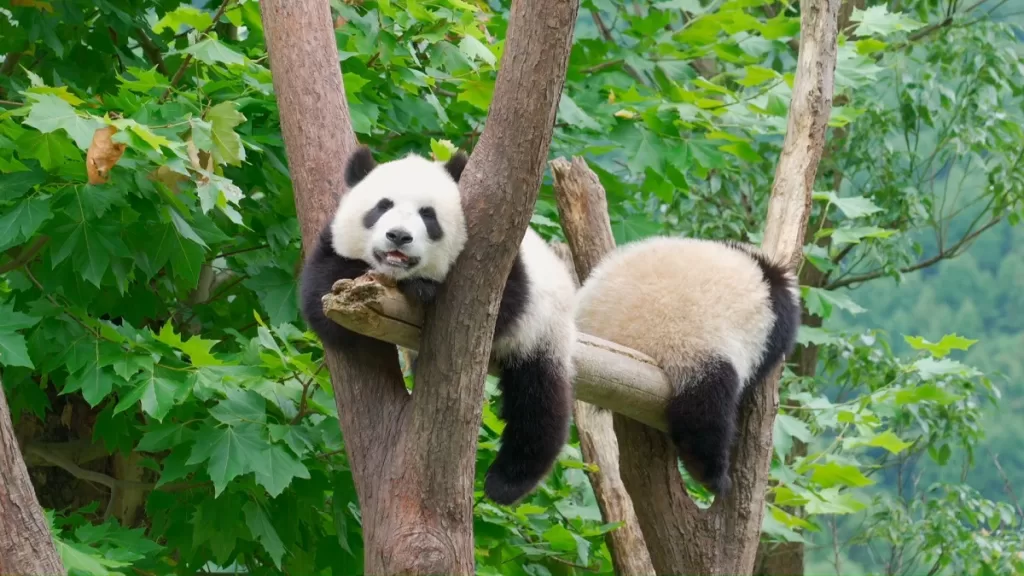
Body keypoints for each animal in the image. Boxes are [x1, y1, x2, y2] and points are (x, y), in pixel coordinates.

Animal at [299, 145, 576, 506]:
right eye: (382, 206)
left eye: (428, 215)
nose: (398, 236)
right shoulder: (332, 245)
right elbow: (322, 293)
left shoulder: (500, 266)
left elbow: (504, 304)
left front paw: (423, 288)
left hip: (545, 331)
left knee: (539, 401)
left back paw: (506, 482)